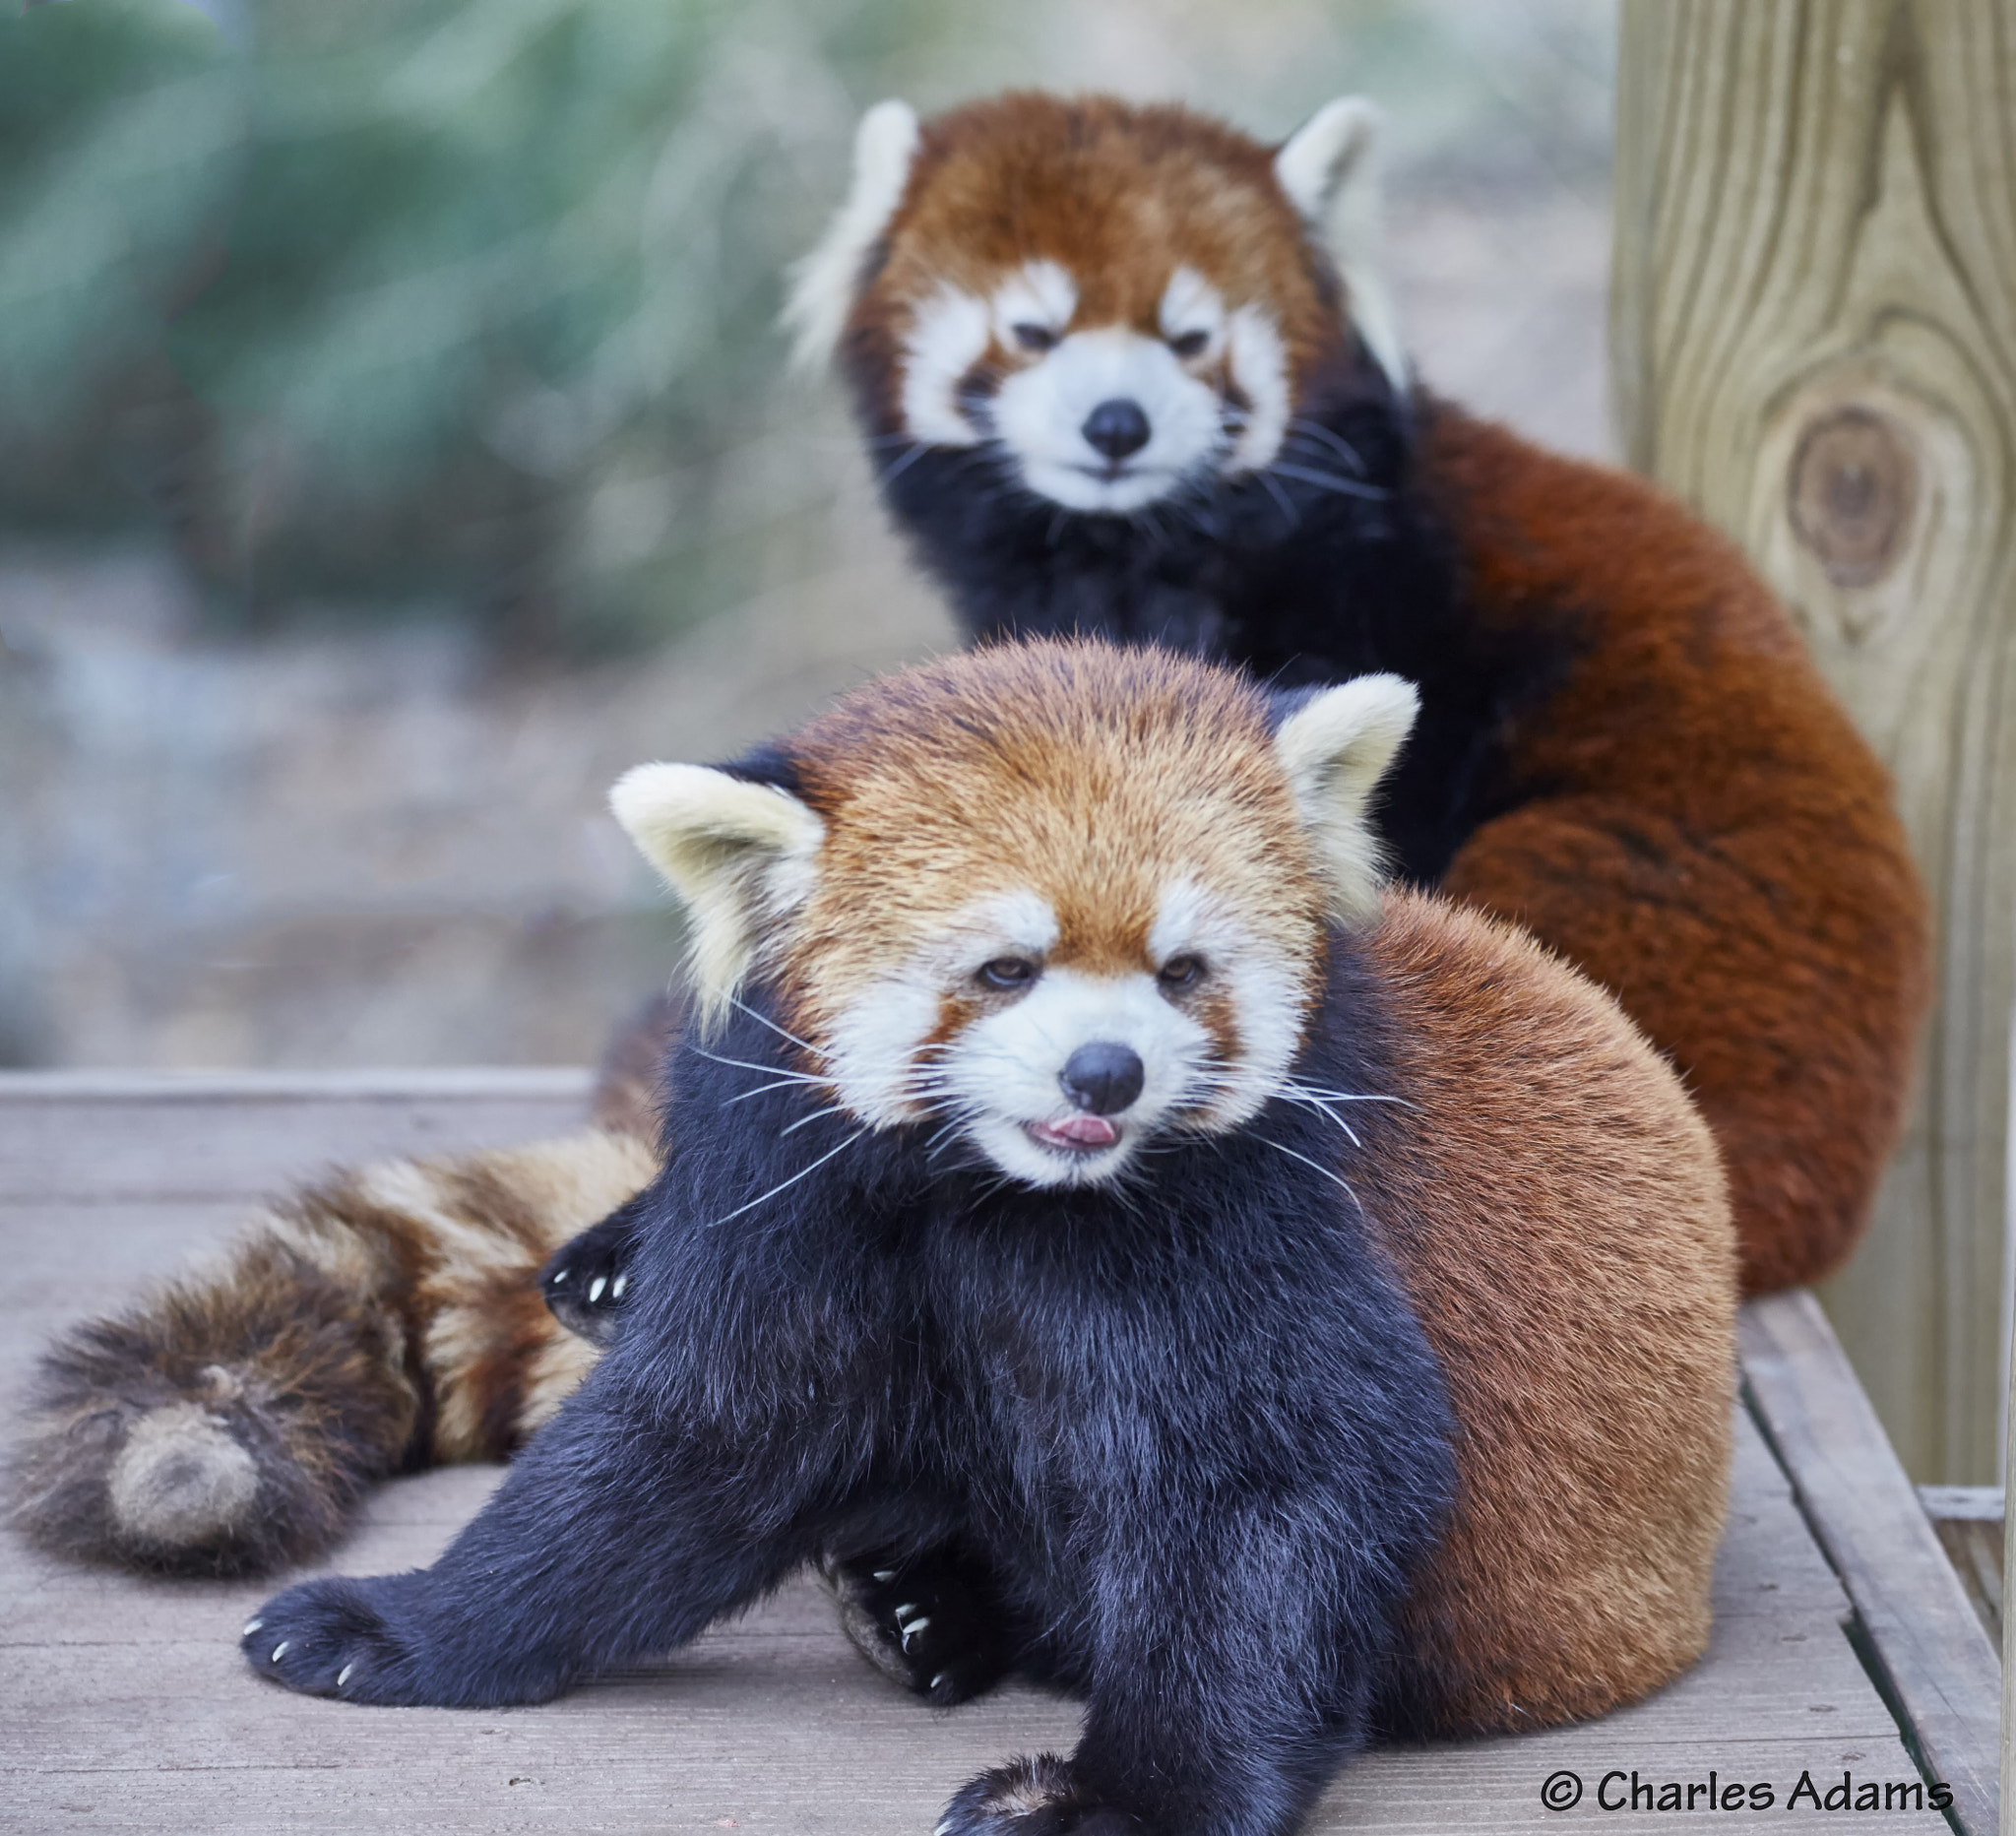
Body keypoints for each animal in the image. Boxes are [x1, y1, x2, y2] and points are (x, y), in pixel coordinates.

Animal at [235, 645, 1741, 1836]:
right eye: (1004, 969)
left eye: (1183, 971)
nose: (1104, 1074)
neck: (991, 1191)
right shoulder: (789, 1183)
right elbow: (694, 1435)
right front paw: (407, 1626)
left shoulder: (1264, 1212)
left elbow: (1277, 1487)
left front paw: (1120, 1803)